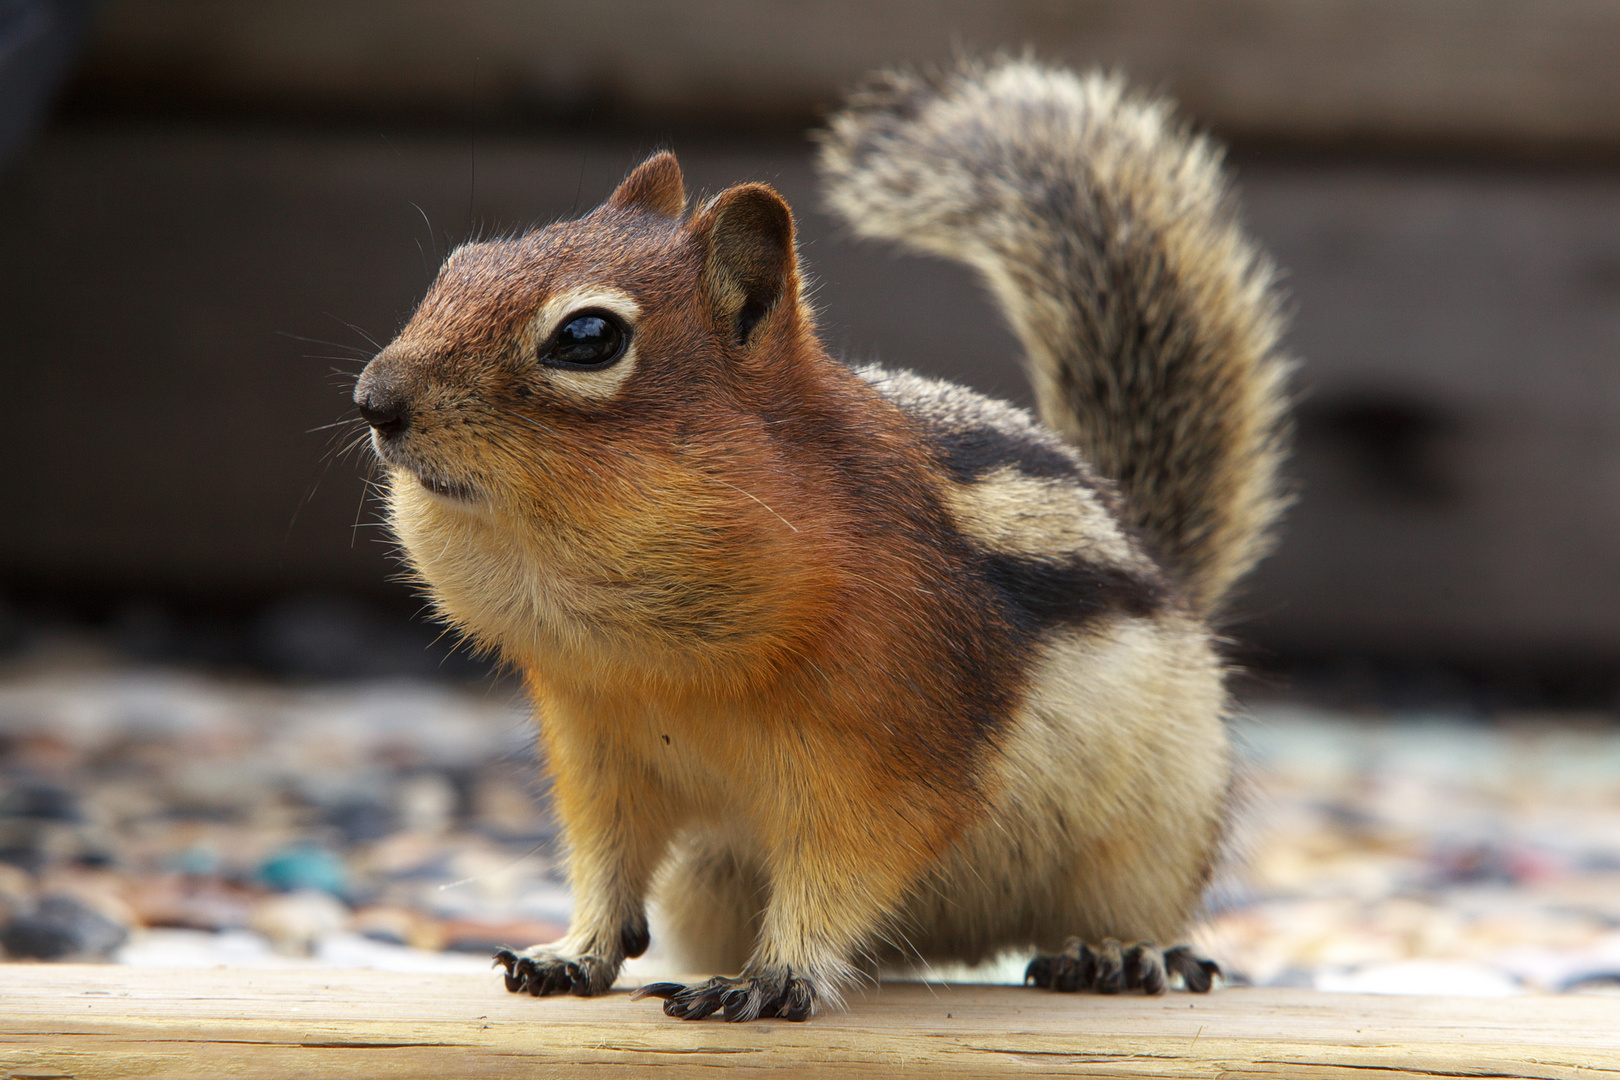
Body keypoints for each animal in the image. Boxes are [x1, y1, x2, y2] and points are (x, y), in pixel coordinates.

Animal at [354, 59, 1289, 1023]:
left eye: (587, 337)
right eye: (458, 265)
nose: (374, 400)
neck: (648, 659)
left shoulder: (886, 759)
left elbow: (839, 869)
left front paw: (772, 978)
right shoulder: (598, 746)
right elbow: (605, 860)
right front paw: (573, 954)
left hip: (1156, 831)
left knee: (1140, 910)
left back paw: (1119, 953)